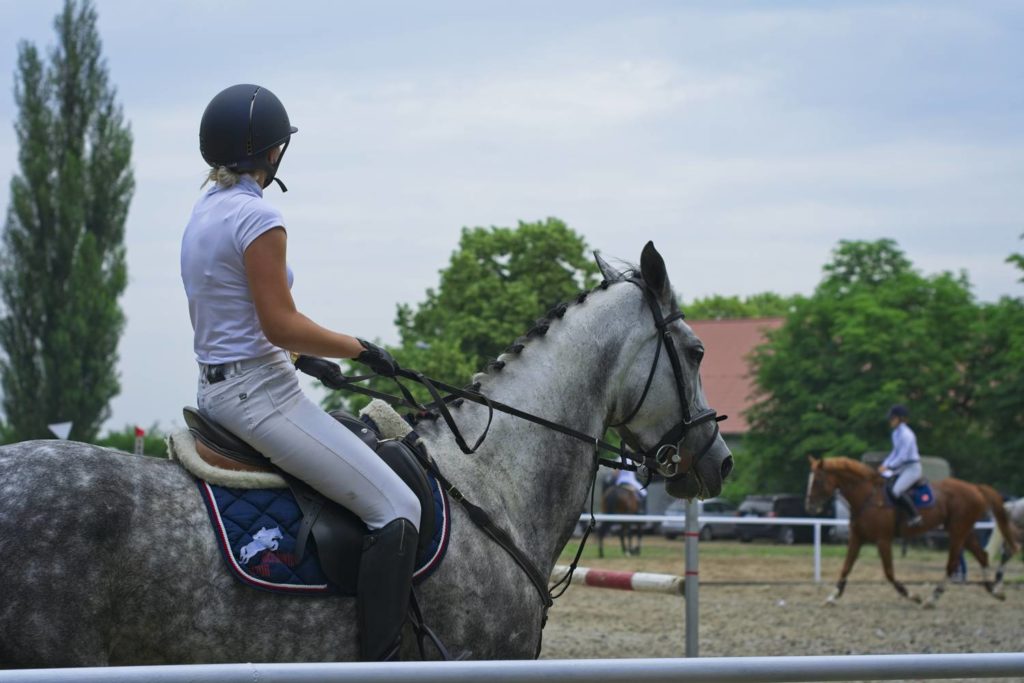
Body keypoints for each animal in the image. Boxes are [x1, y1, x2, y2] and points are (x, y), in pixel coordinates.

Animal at [806, 454, 1015, 610]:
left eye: (818, 480)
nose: (809, 506)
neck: (867, 496)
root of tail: (975, 487)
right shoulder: (857, 538)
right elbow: (846, 568)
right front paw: (832, 597)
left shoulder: (883, 540)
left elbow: (889, 572)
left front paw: (912, 595)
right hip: (965, 530)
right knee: (982, 556)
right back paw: (995, 591)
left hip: (958, 531)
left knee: (953, 564)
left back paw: (932, 599)